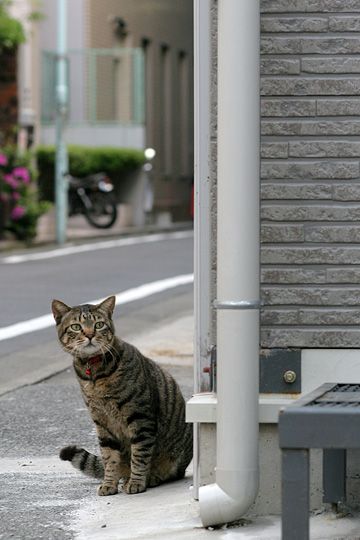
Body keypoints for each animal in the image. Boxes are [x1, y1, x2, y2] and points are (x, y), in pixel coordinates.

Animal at [51, 298, 193, 496]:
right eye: (76, 327)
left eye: (99, 324)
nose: (89, 334)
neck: (94, 375)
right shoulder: (102, 423)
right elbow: (109, 457)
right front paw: (109, 484)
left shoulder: (140, 418)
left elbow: (139, 455)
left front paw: (137, 482)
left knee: (170, 472)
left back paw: (151, 477)